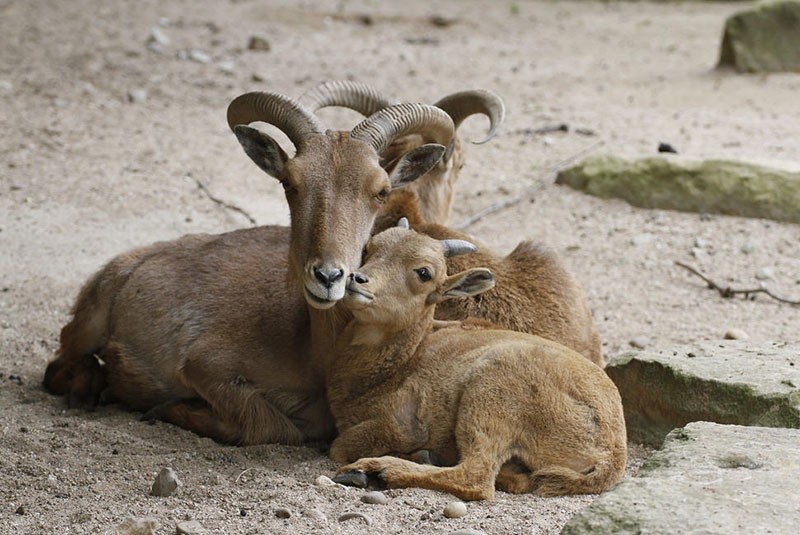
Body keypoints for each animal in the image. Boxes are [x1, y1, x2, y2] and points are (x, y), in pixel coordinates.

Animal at [45, 90, 456, 446]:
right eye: (289, 182)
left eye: (381, 190)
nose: (327, 277)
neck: (311, 349)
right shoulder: (204, 364)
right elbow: (266, 424)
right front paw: (164, 405)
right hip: (92, 318)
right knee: (59, 364)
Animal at [324, 220, 624, 500]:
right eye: (371, 248)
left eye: (424, 273)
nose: (356, 280)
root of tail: (612, 453)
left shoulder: (402, 423)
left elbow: (339, 446)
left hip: (491, 395)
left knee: (476, 476)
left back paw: (374, 470)